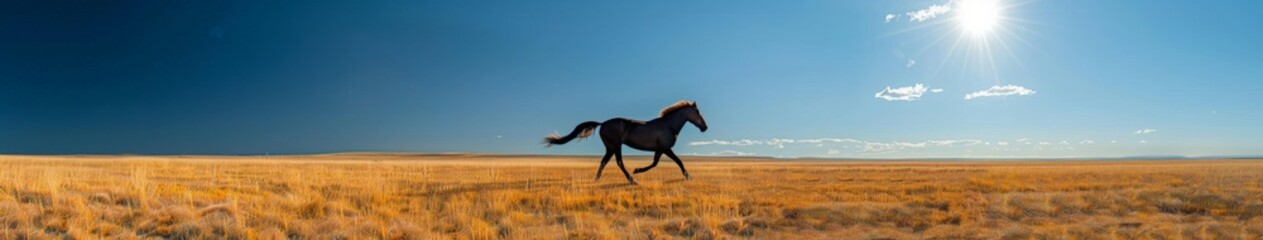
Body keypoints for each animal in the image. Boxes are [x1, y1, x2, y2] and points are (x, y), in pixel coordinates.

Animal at [545, 100, 712, 184]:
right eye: (697, 112)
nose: (705, 127)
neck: (668, 125)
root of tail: (602, 124)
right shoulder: (666, 148)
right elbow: (679, 162)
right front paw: (688, 176)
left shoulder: (659, 149)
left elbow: (655, 163)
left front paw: (638, 169)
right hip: (616, 146)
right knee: (619, 162)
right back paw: (632, 180)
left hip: (610, 148)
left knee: (604, 162)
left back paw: (597, 178)